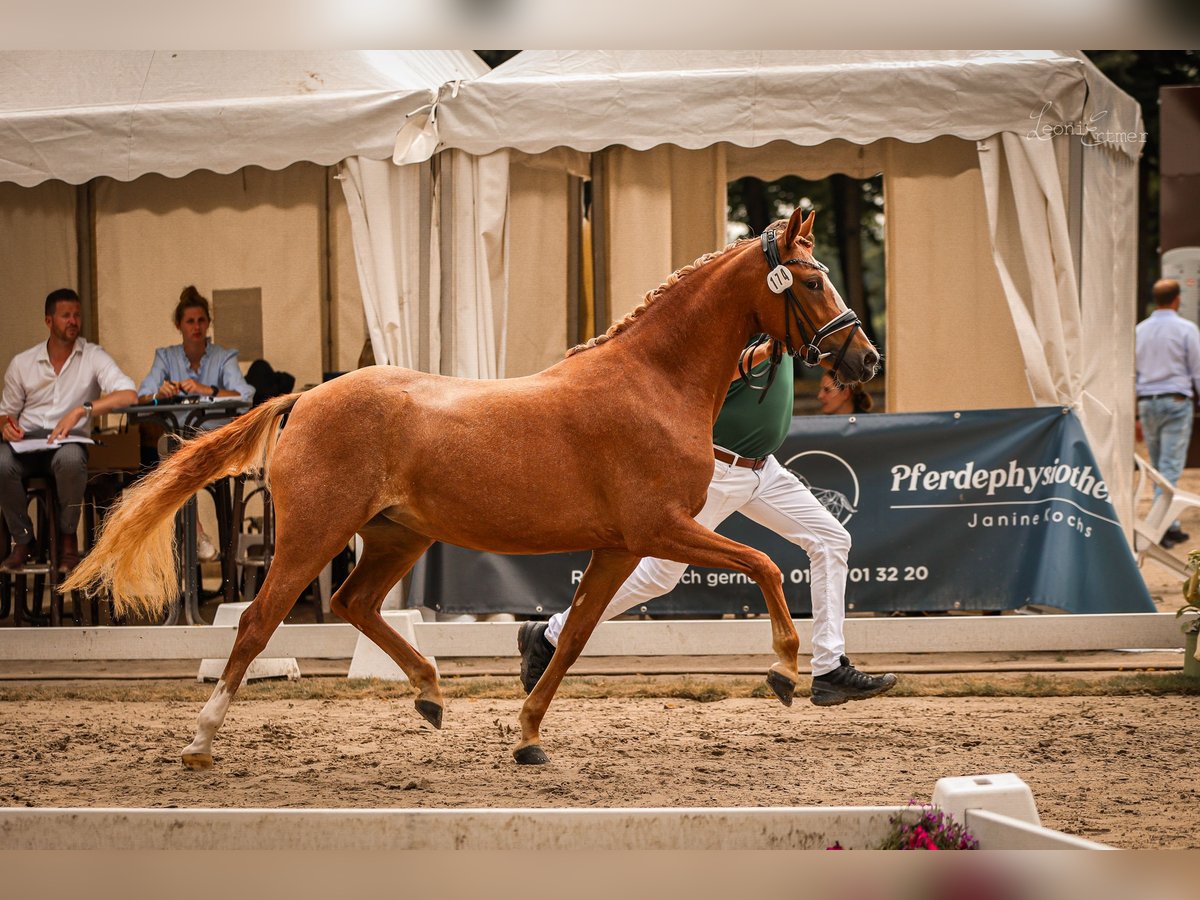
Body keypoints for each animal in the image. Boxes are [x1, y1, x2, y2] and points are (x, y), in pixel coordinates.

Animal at [65, 210, 878, 768]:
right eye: (812, 280)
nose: (865, 359)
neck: (652, 383)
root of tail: (306, 399)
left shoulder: (620, 547)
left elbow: (573, 637)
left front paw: (527, 736)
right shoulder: (661, 529)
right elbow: (766, 565)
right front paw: (783, 670)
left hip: (396, 536)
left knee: (352, 603)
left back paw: (430, 693)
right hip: (310, 536)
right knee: (258, 623)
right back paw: (201, 742)